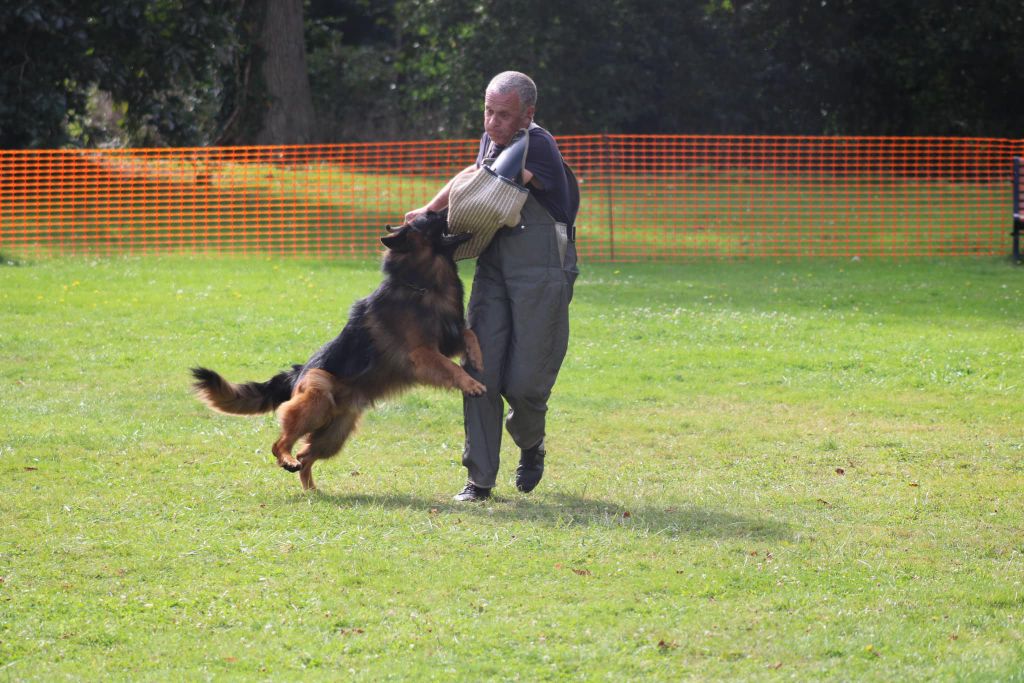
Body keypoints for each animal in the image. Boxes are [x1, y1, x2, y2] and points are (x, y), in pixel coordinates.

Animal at [192, 209, 487, 491]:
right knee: (281, 445)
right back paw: (287, 461)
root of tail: (298, 372)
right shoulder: (422, 353)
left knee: (305, 456)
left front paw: (478, 360)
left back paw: (311, 490)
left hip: (336, 433)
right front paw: (471, 383)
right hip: (317, 399)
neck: (422, 283)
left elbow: (469, 334)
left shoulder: (446, 339)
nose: (448, 208)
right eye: (433, 217)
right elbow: (450, 366)